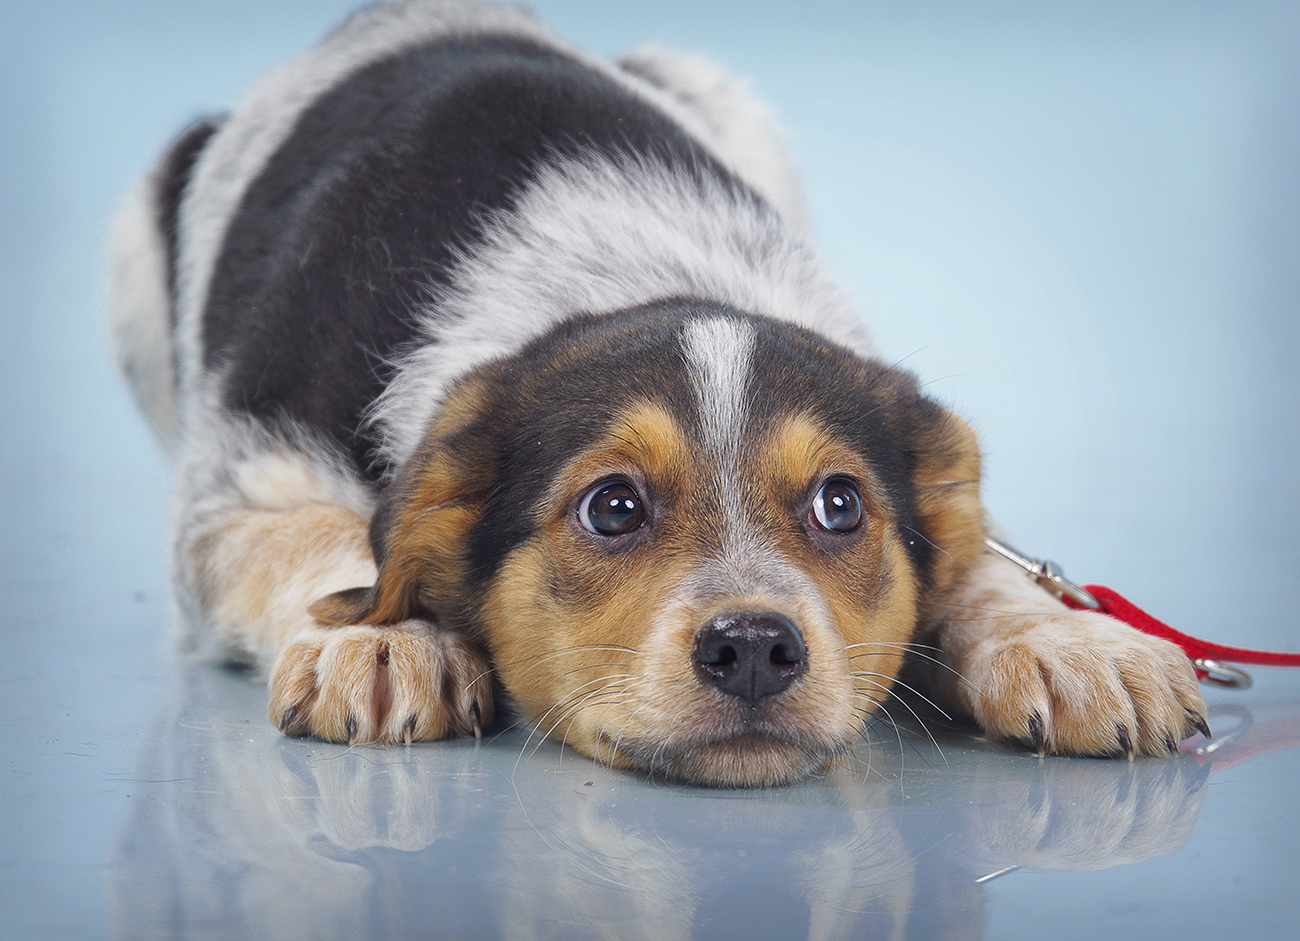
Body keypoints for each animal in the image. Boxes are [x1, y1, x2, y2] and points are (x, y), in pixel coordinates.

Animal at [109, 0, 1207, 787]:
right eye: (612, 507)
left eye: (840, 504)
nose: (756, 648)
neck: (627, 281)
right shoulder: (227, 496)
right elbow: (327, 536)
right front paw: (383, 635)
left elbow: (989, 559)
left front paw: (1069, 638)